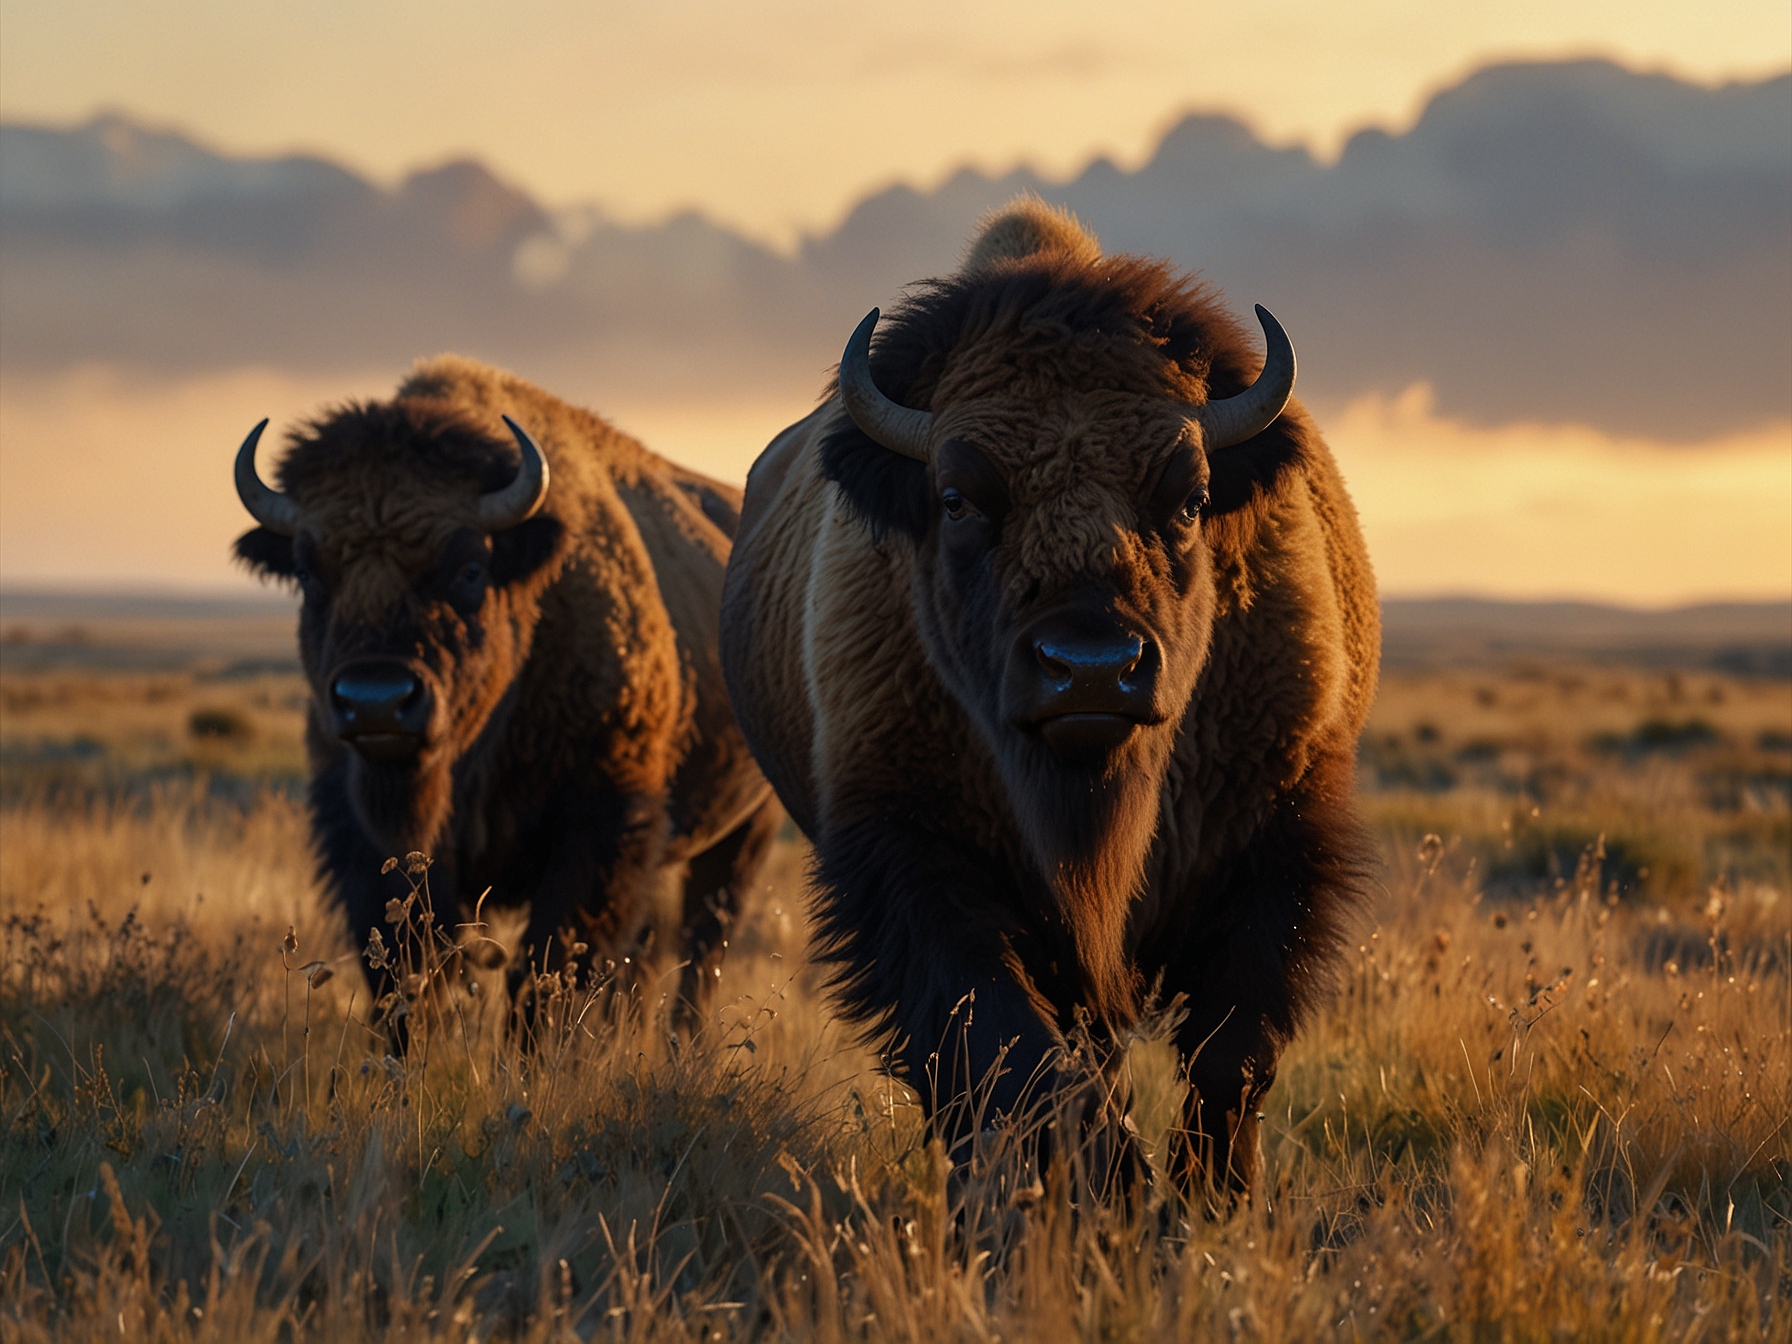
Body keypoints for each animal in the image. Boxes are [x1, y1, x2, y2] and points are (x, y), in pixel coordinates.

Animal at [234, 356, 777, 1021]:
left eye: (470, 568)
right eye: (308, 573)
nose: (376, 702)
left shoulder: (599, 829)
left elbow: (544, 976)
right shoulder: (368, 846)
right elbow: (409, 975)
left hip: (746, 829)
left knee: (703, 952)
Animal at [721, 201, 1378, 1195]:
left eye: (1190, 498)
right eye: (957, 498)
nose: (1092, 667)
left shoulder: (1276, 843)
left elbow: (1232, 1054)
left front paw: (1206, 1201)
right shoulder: (916, 860)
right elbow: (1009, 1050)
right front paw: (1111, 1189)